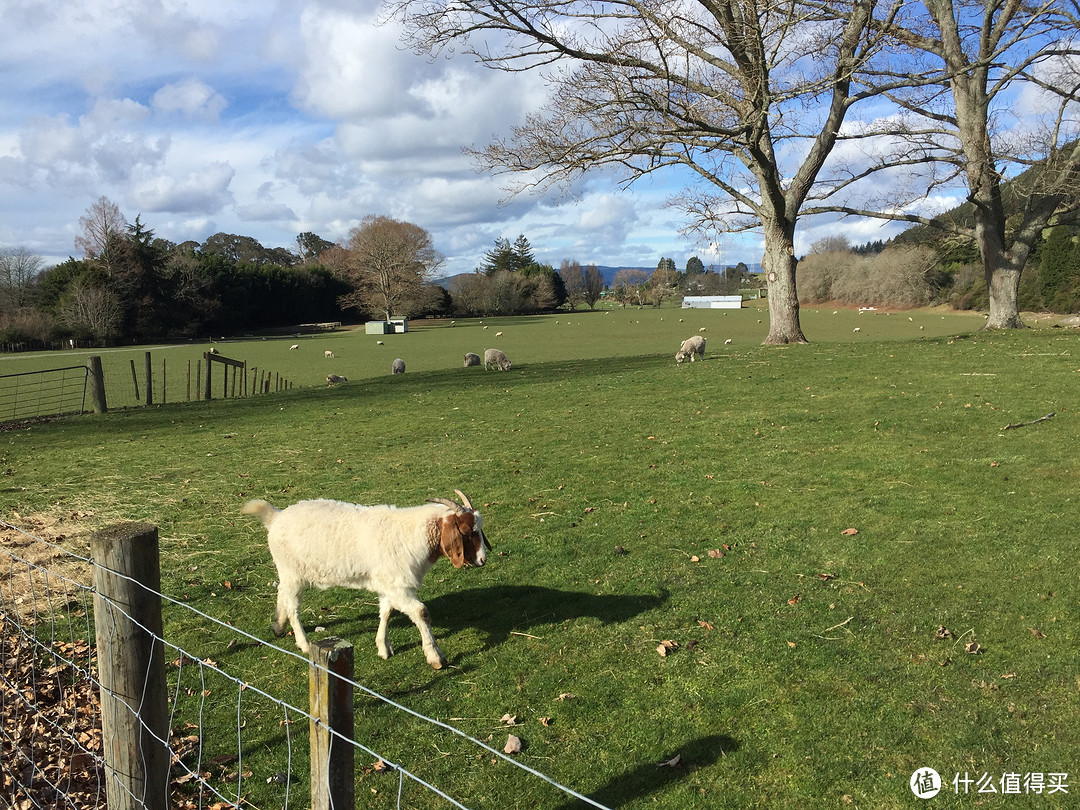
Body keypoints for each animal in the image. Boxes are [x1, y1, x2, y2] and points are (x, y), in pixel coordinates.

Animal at [243, 488, 492, 673]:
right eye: (467, 531)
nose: (482, 560)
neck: (410, 534)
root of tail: (276, 517)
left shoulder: (389, 585)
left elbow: (386, 612)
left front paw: (383, 647)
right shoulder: (399, 587)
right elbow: (421, 612)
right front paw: (436, 657)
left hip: (288, 572)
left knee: (282, 593)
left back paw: (278, 625)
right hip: (293, 572)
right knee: (293, 606)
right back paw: (303, 643)